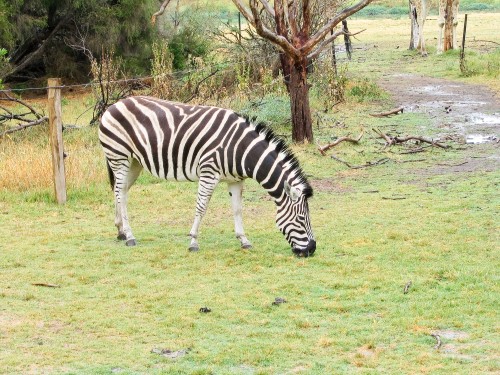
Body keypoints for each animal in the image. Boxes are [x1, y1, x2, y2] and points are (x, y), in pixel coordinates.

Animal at [98, 95, 316, 258]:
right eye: (300, 218)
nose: (312, 249)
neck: (240, 150)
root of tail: (113, 105)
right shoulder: (208, 173)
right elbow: (201, 208)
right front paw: (193, 241)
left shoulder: (235, 180)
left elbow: (237, 210)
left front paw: (244, 240)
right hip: (119, 156)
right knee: (120, 193)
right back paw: (129, 236)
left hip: (134, 162)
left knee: (121, 191)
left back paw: (121, 231)